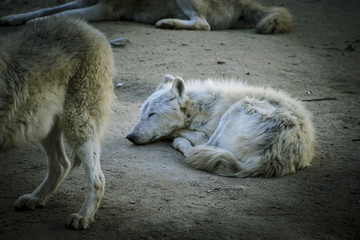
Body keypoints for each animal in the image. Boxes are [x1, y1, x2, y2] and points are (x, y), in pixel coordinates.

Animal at [0, 16, 114, 229]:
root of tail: (90, 28)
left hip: (77, 124)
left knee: (98, 178)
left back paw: (83, 217)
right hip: (41, 124)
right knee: (62, 164)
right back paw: (36, 199)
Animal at [127, 76, 316, 177]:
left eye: (152, 114)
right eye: (142, 114)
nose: (130, 136)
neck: (203, 107)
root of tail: (272, 155)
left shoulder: (206, 131)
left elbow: (187, 134)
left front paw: (177, 135)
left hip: (236, 108)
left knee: (199, 149)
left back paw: (179, 142)